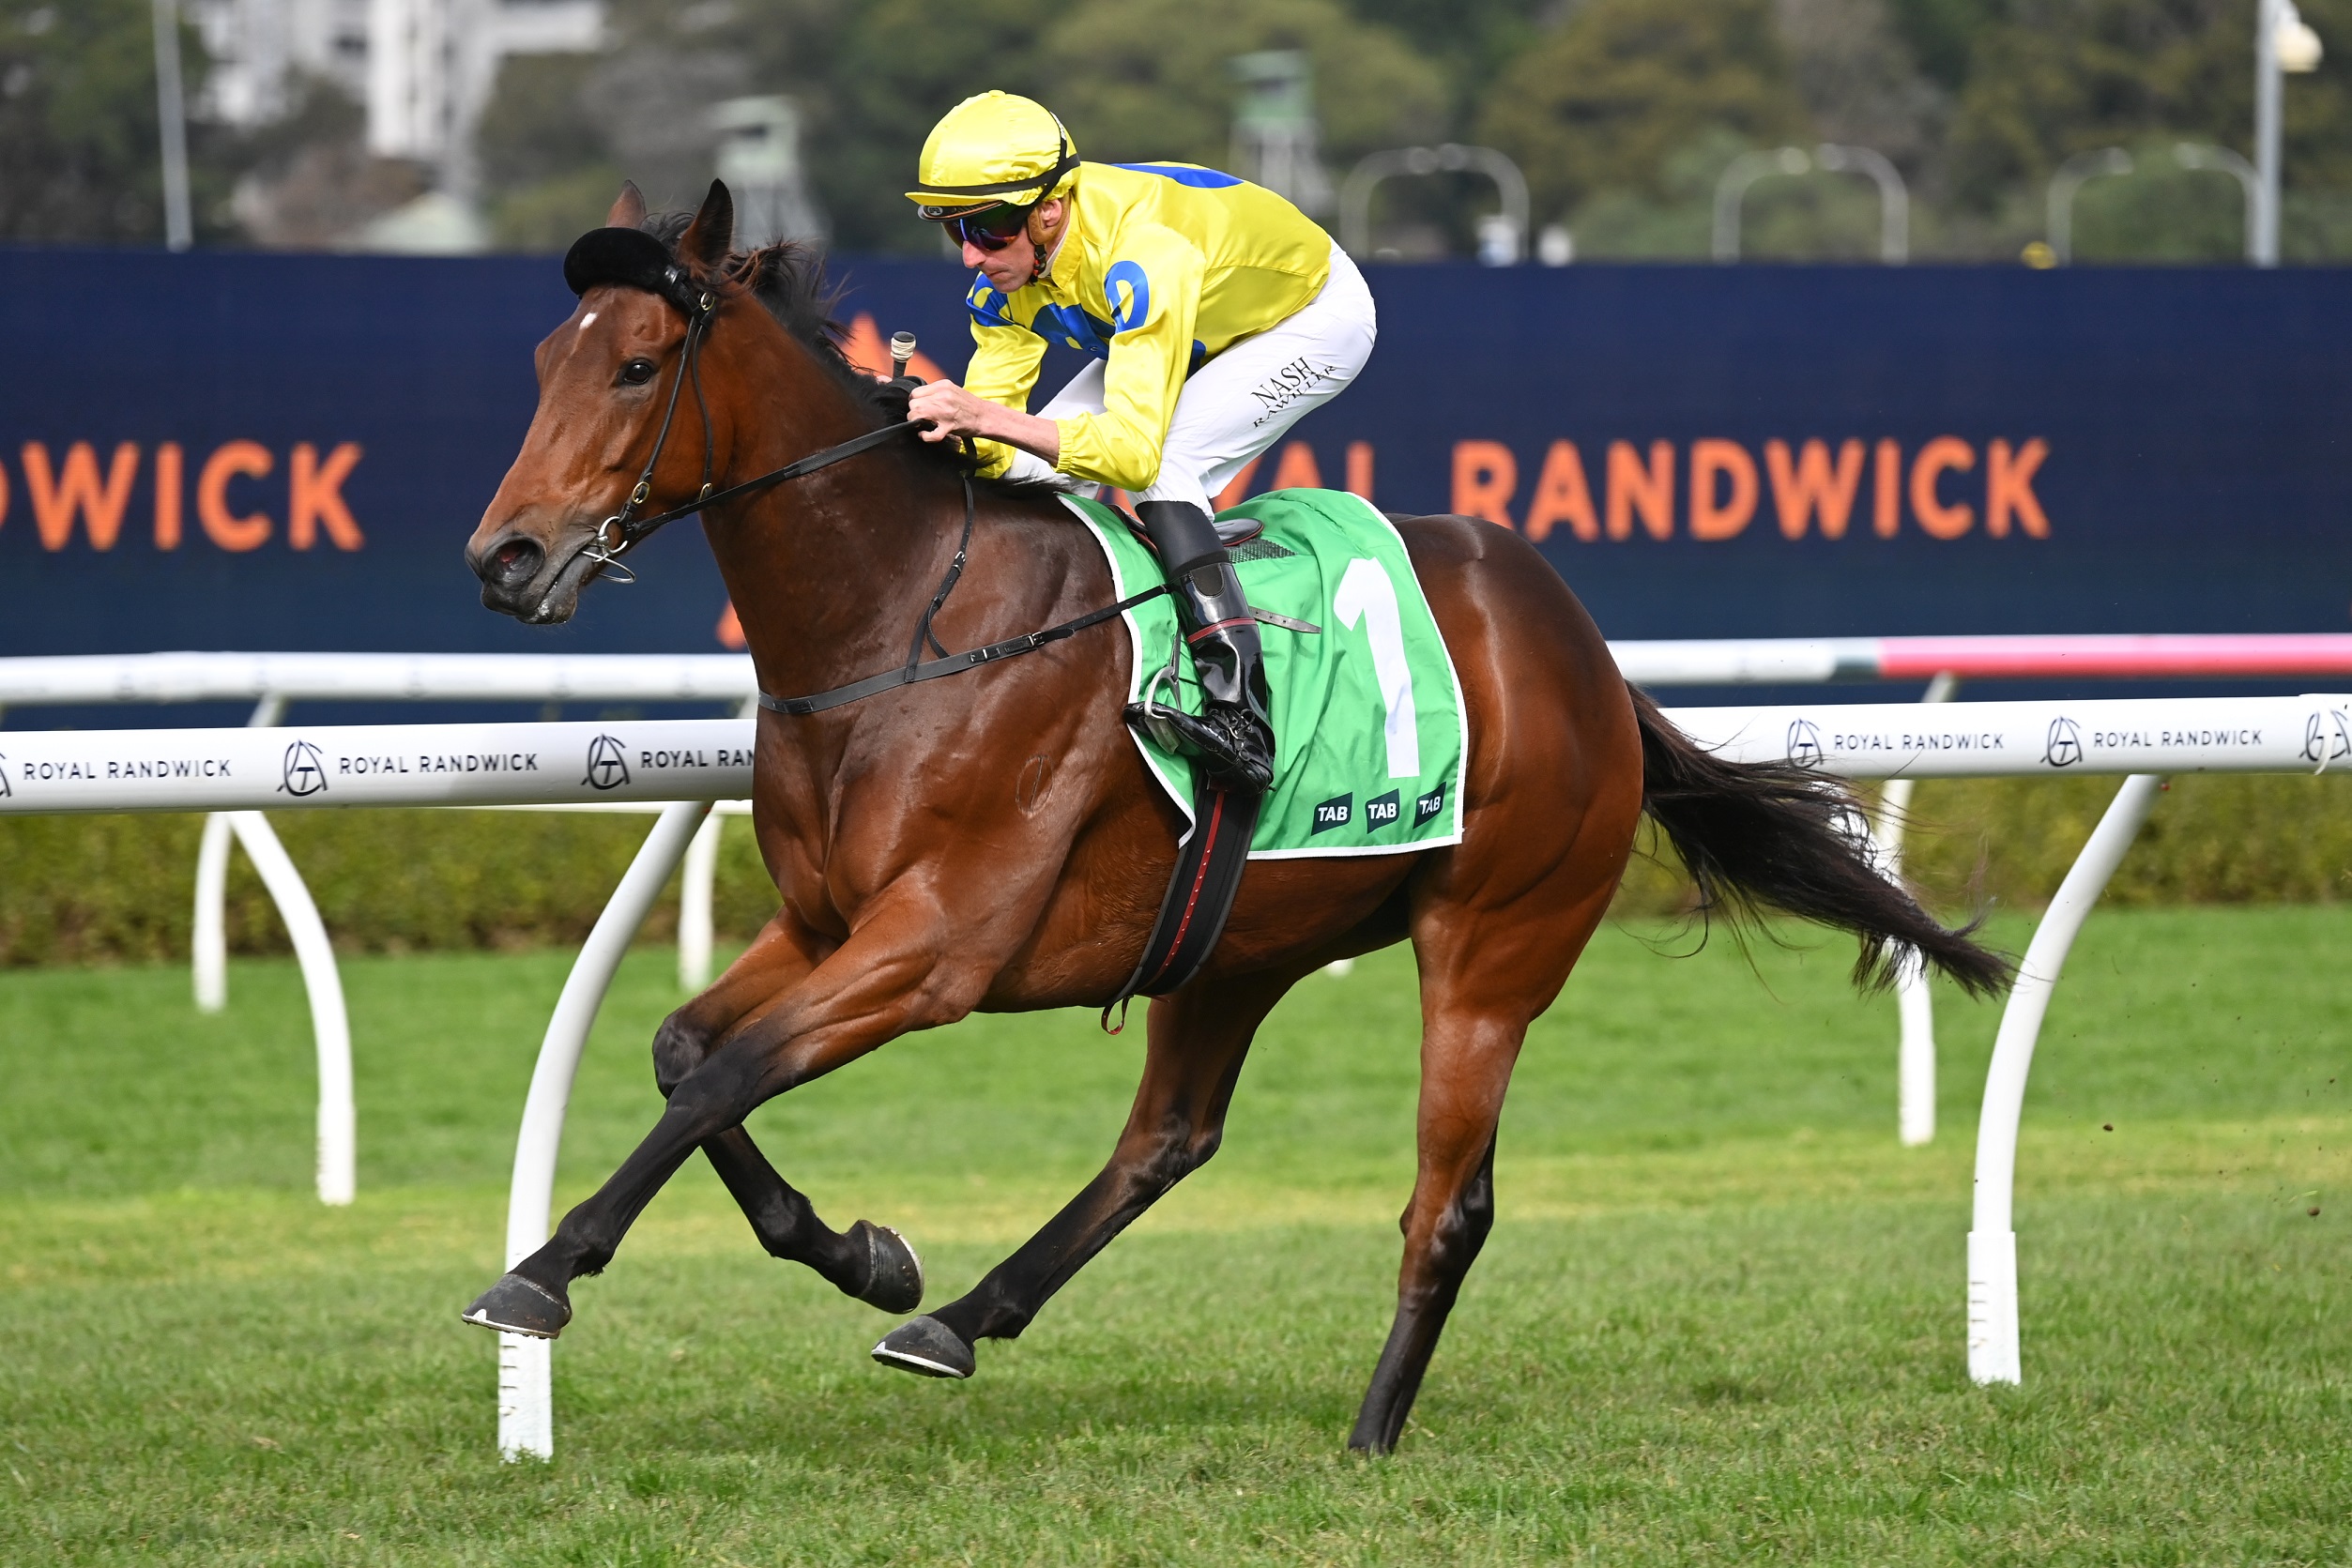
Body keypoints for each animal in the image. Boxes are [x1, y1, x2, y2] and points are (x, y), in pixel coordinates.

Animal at [460, 180, 2007, 1454]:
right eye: (540, 363)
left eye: (637, 363)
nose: (505, 557)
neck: (905, 618)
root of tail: (1581, 649)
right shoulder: (826, 920)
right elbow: (685, 1051)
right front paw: (867, 1254)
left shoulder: (934, 945)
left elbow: (726, 1073)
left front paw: (538, 1273)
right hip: (1235, 935)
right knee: (1168, 1136)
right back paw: (956, 1314)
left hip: (1492, 944)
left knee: (1446, 1200)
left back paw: (1371, 1429)